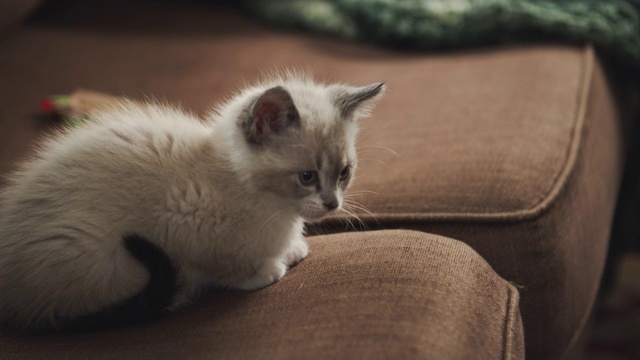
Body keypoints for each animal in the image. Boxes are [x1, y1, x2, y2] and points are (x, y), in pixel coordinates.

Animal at [0, 73, 384, 332]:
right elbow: (222, 267)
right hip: (99, 253)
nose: (333, 205)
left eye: (343, 173)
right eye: (307, 177)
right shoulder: (184, 220)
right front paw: (266, 271)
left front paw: (292, 250)